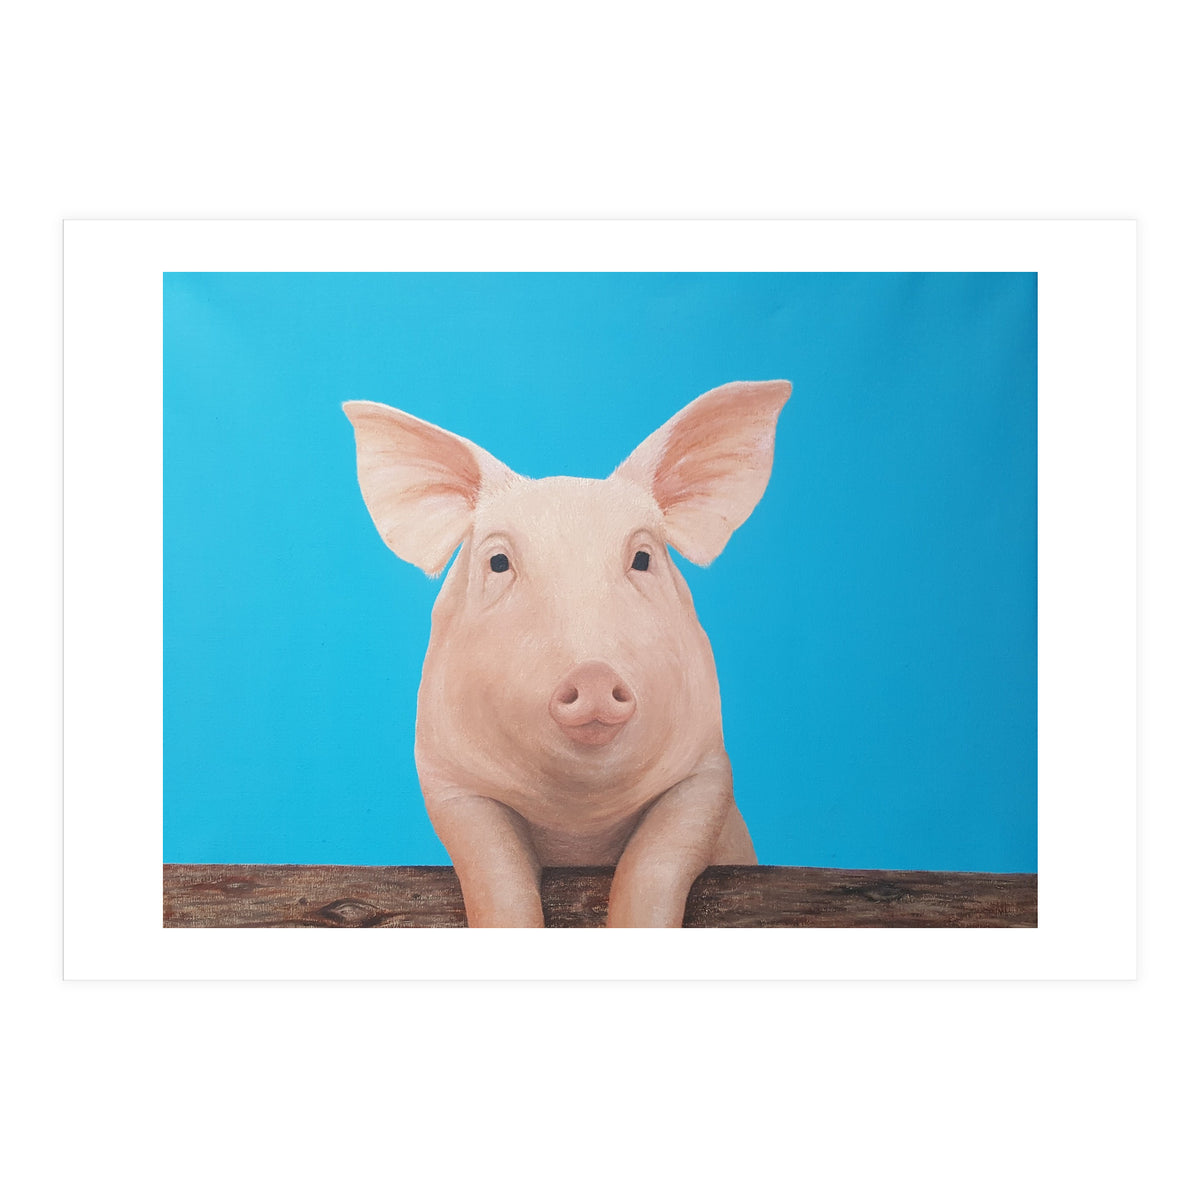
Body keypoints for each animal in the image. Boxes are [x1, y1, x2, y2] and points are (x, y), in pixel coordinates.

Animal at [343, 379, 790, 927]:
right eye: (498, 562)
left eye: (643, 558)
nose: (594, 674)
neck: (578, 820)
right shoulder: (448, 780)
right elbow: (495, 871)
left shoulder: (707, 770)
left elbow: (655, 862)